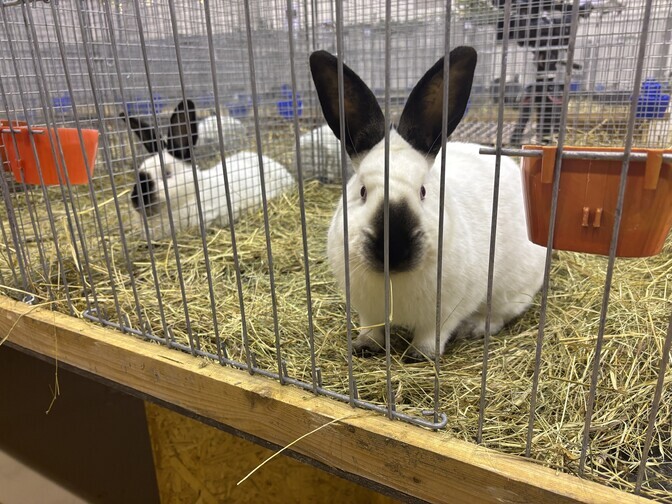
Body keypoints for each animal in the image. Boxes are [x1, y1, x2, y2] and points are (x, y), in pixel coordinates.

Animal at [310, 47, 546, 360]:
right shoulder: (367, 311)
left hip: (509, 290)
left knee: (498, 315)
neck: (393, 279)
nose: (393, 248)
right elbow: (371, 328)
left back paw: (474, 328)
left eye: (423, 191)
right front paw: (364, 347)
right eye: (362, 191)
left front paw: (418, 355)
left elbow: (431, 335)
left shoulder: (445, 312)